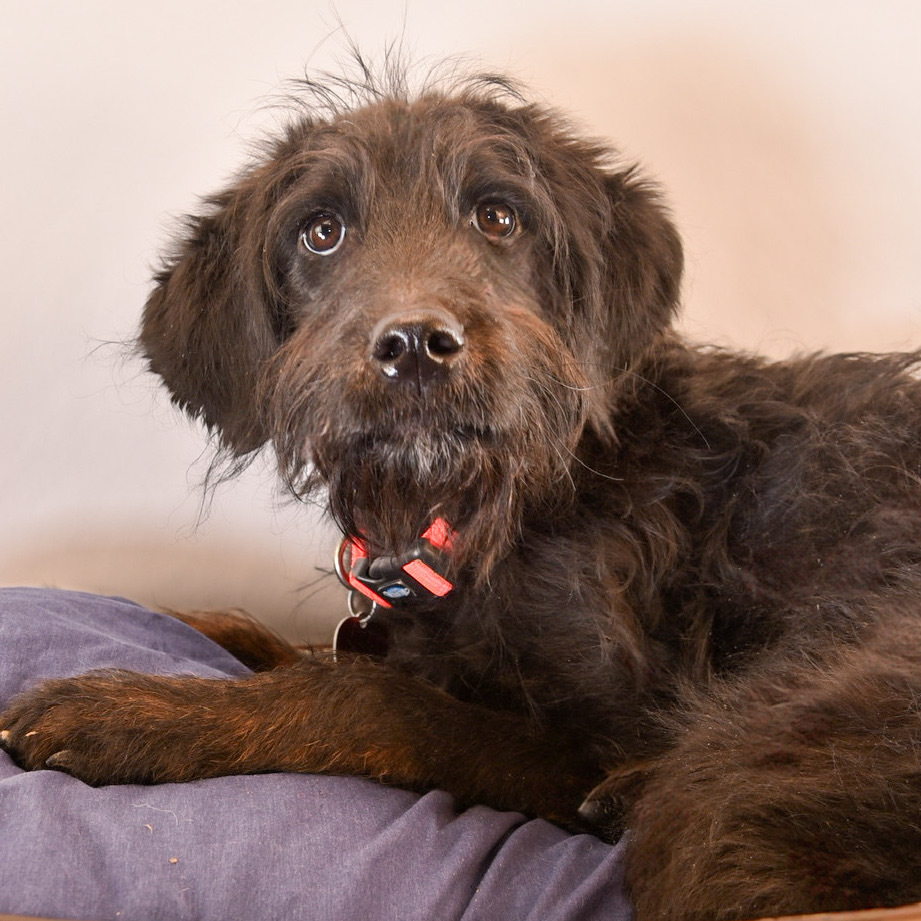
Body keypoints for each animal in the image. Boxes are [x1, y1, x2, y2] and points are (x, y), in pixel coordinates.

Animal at [1, 66, 920, 920]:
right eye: (322, 232)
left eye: (498, 217)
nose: (415, 345)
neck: (484, 508)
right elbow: (263, 633)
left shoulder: (599, 727)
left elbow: (364, 695)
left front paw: (131, 711)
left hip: (741, 771)